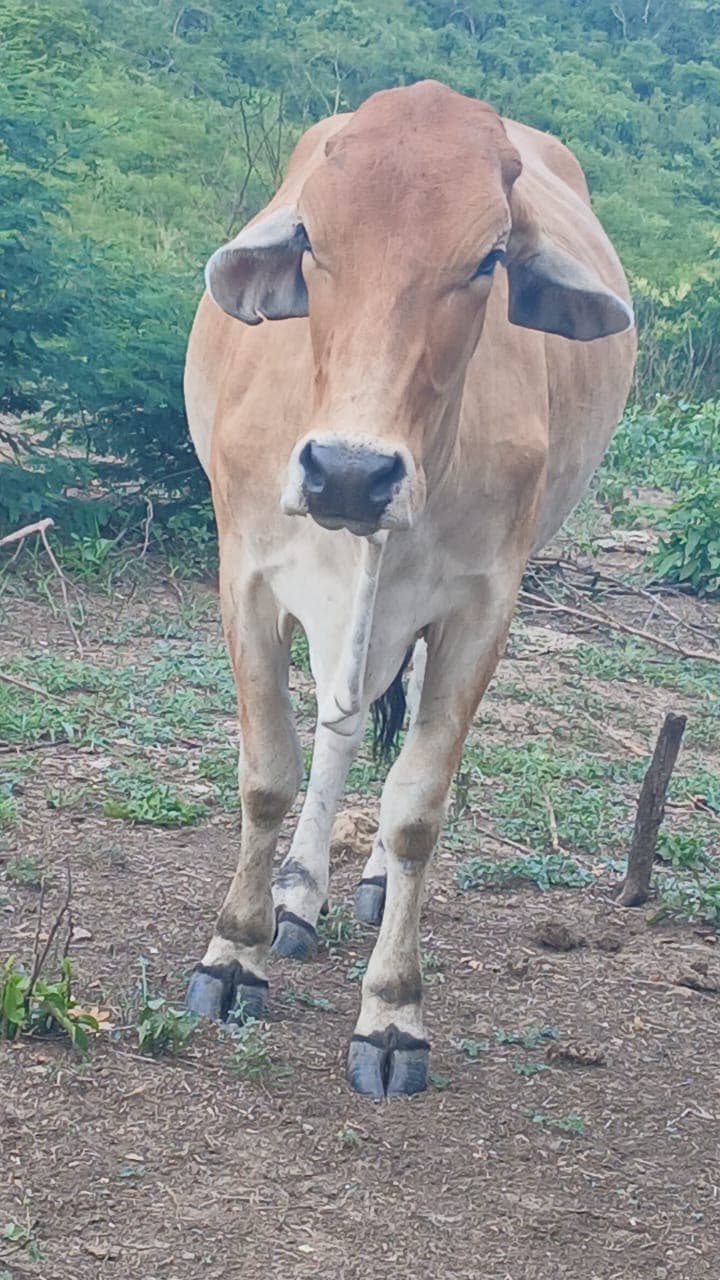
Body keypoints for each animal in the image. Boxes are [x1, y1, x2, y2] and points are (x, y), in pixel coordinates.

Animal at [183, 79, 636, 1097]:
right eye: (314, 238)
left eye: (489, 258)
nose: (350, 474)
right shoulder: (247, 577)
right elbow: (268, 774)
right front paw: (236, 952)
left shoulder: (483, 607)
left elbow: (418, 807)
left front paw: (393, 1012)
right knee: (339, 729)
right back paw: (298, 895)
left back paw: (372, 885)